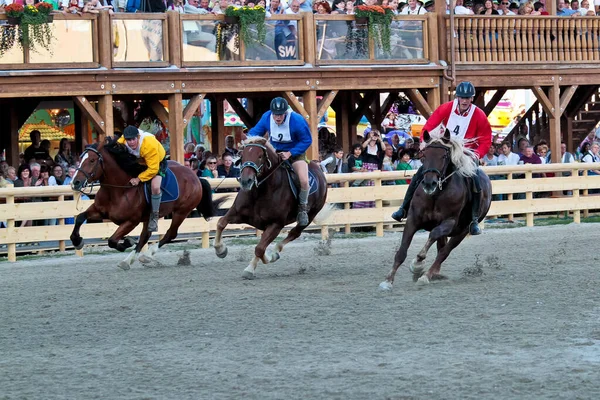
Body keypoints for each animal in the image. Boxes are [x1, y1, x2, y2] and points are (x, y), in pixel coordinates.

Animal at [69, 139, 218, 270]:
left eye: (92, 160)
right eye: (81, 159)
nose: (75, 182)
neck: (119, 189)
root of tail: (196, 177)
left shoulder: (131, 221)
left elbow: (112, 240)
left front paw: (126, 242)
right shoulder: (98, 211)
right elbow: (80, 218)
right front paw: (77, 241)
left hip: (181, 212)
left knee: (170, 234)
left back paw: (147, 255)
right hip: (150, 218)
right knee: (145, 236)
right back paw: (131, 260)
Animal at [380, 130, 492, 290]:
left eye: (444, 156)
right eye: (424, 155)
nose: (429, 183)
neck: (437, 194)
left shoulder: (449, 222)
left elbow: (433, 235)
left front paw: (418, 263)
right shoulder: (413, 219)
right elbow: (401, 252)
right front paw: (388, 281)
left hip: (462, 231)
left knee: (444, 252)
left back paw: (426, 276)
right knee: (441, 248)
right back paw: (433, 274)